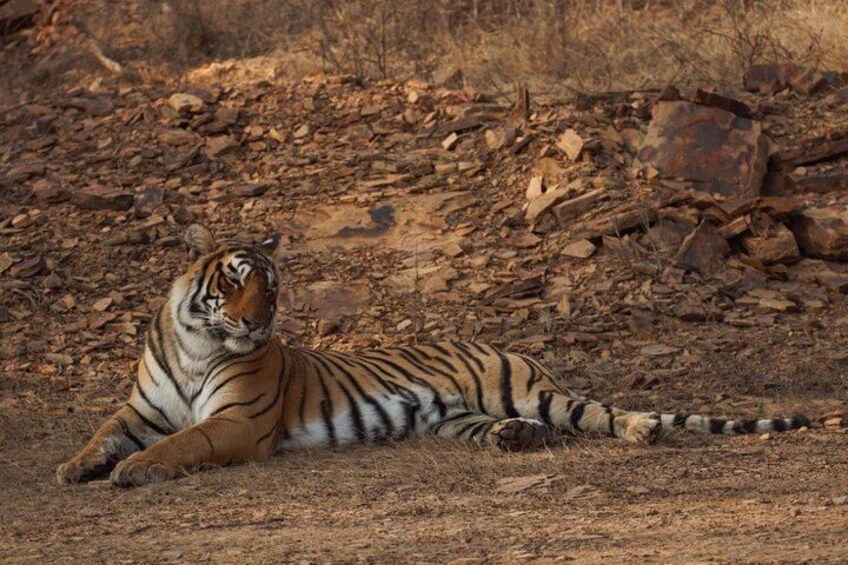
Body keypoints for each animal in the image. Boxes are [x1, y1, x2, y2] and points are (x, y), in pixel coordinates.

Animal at [57, 224, 811, 488]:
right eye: (238, 280)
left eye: (271, 287)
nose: (261, 319)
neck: (197, 343)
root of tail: (490, 338)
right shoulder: (140, 409)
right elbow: (102, 432)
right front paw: (75, 465)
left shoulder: (238, 422)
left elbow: (183, 443)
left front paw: (132, 470)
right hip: (453, 419)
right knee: (519, 429)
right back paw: (516, 440)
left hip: (530, 389)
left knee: (598, 412)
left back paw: (640, 428)